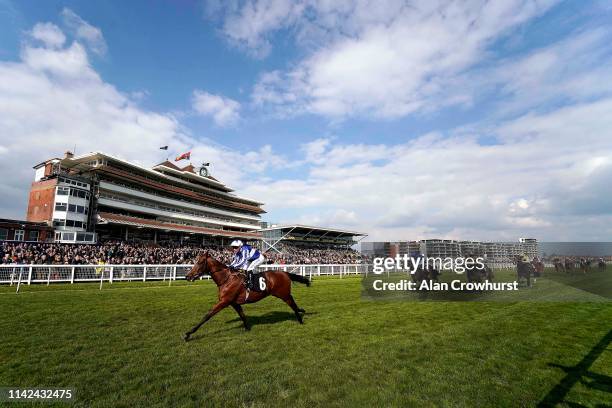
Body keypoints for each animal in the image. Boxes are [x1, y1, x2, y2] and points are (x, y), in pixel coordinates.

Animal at [179, 252, 308, 342]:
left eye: (200, 262)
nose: (187, 276)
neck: (226, 279)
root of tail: (285, 273)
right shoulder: (234, 303)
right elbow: (242, 315)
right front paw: (247, 328)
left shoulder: (224, 301)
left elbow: (207, 315)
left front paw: (188, 334)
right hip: (283, 294)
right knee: (293, 303)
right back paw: (302, 311)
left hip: (283, 294)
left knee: (292, 304)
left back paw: (300, 319)